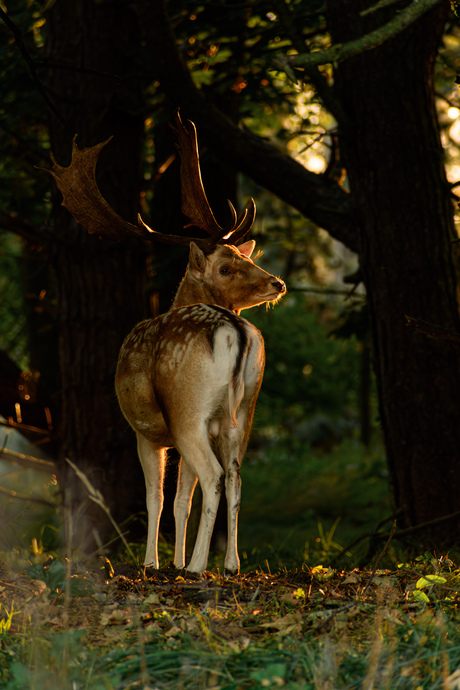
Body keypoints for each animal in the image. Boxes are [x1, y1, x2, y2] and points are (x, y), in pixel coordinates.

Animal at [41, 110, 286, 572]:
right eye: (228, 266)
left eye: (243, 257)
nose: (277, 283)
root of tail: (237, 331)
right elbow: (180, 502)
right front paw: (172, 560)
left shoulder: (146, 431)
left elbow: (156, 498)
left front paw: (155, 563)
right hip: (245, 408)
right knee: (235, 475)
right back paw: (230, 564)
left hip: (188, 409)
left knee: (214, 476)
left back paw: (198, 567)